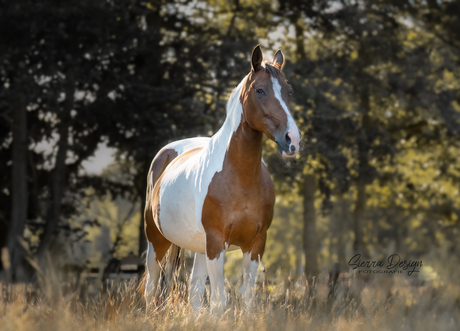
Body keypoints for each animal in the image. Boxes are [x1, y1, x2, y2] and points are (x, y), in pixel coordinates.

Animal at [144, 44, 302, 316]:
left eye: (288, 91)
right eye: (260, 91)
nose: (292, 139)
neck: (239, 177)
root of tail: (166, 154)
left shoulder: (255, 244)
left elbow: (246, 297)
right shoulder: (218, 243)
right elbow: (219, 300)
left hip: (199, 247)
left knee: (194, 290)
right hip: (156, 241)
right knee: (151, 290)